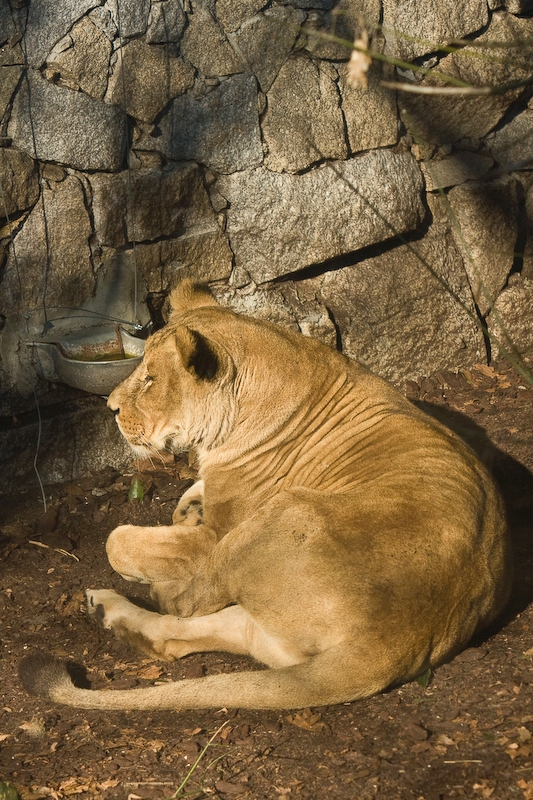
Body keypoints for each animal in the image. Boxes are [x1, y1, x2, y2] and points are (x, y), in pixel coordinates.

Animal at [20, 280, 512, 711]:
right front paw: (189, 504)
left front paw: (171, 526)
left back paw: (148, 591)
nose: (111, 408)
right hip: (266, 622)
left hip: (279, 517)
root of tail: (396, 642)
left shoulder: (219, 532)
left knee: (184, 602)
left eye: (151, 379)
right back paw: (106, 610)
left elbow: (116, 541)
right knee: (179, 633)